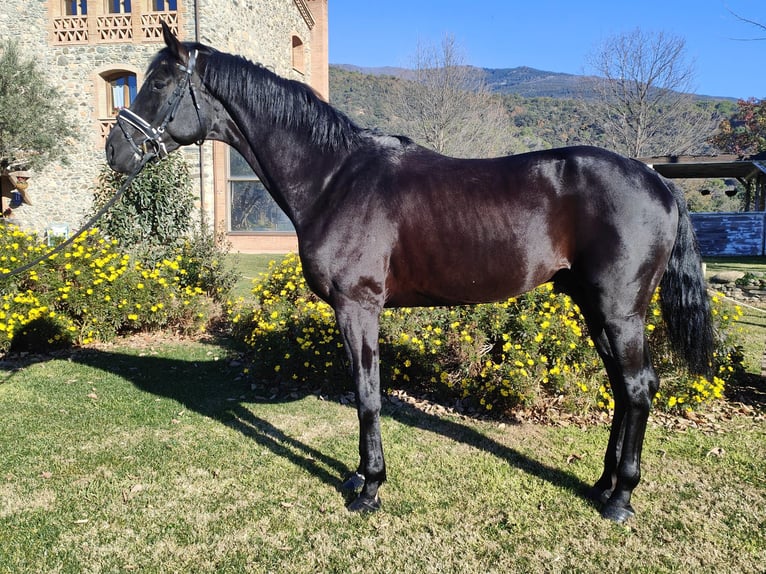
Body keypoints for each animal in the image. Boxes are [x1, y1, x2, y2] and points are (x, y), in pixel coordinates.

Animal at [106, 23, 712, 528]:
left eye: (158, 82)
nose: (116, 152)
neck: (334, 178)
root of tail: (657, 180)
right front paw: (361, 477)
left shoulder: (358, 307)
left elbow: (367, 394)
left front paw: (368, 489)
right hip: (594, 306)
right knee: (623, 389)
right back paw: (602, 484)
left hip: (620, 309)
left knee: (638, 388)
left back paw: (620, 498)